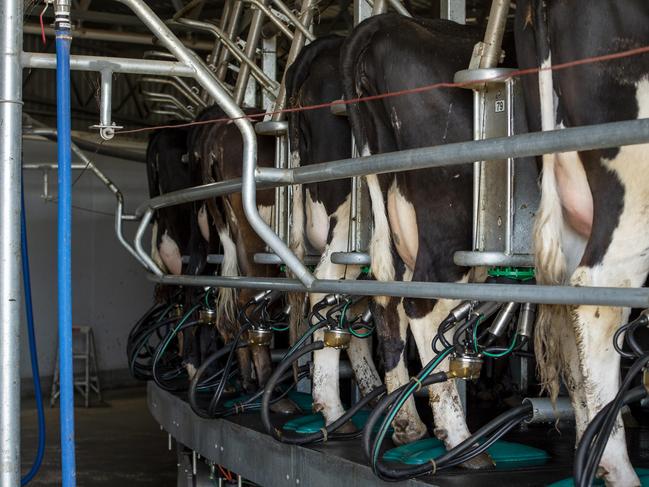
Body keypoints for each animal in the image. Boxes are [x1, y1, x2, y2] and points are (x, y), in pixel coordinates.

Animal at [340, 12, 502, 466]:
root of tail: (386, 23)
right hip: (449, 220)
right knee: (422, 303)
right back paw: (460, 437)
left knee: (386, 294)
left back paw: (406, 424)